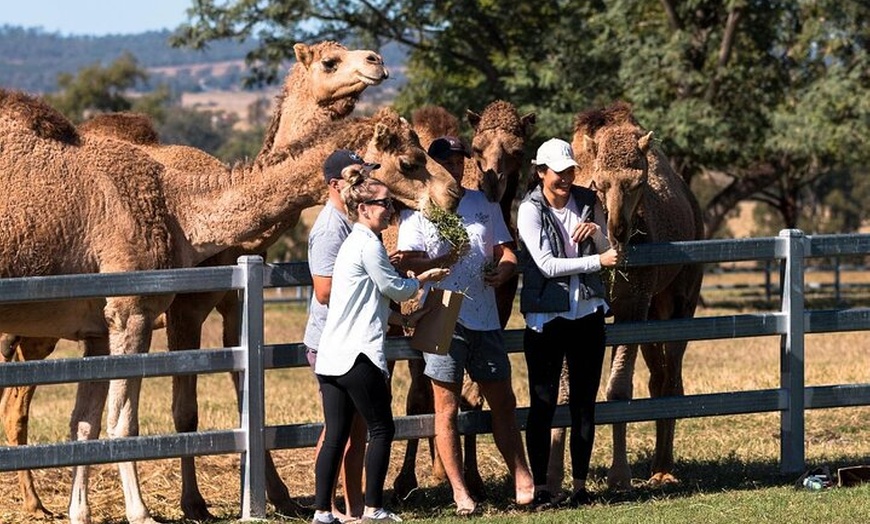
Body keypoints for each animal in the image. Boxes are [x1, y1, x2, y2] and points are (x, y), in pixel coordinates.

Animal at [0, 90, 464, 524]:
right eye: (409, 161)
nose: (453, 193)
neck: (176, 208)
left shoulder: (97, 327)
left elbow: (85, 422)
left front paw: (80, 512)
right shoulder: (131, 311)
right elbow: (123, 422)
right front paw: (141, 512)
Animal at [392, 101, 536, 500]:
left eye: (518, 150)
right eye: (478, 147)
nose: (491, 182)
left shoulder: (497, 315)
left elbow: (474, 397)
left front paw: (473, 479)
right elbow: (419, 398)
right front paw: (404, 481)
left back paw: (443, 470)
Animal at [572, 102, 708, 492]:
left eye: (638, 183)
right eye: (599, 183)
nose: (618, 230)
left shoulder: (632, 305)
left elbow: (618, 390)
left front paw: (619, 475)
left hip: (681, 298)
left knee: (671, 379)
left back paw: (664, 468)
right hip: (655, 309)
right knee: (657, 378)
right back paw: (658, 466)